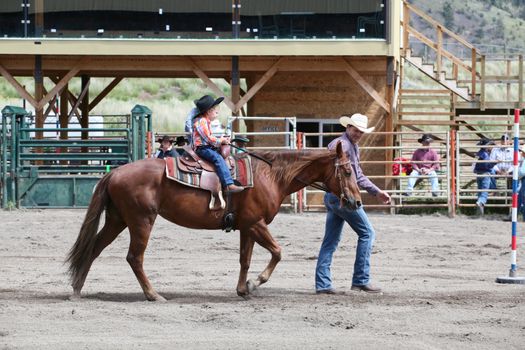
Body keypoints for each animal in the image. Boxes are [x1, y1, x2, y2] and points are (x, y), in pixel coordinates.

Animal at [66, 142, 360, 300]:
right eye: (347, 170)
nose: (356, 202)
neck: (270, 175)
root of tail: (115, 172)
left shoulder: (246, 227)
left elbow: (245, 259)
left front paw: (242, 289)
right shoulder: (256, 224)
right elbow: (277, 252)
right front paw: (255, 283)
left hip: (118, 220)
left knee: (93, 249)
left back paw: (77, 289)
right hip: (141, 221)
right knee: (134, 257)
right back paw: (153, 294)